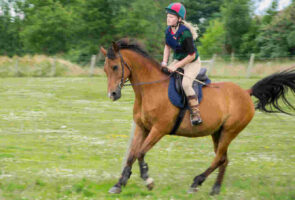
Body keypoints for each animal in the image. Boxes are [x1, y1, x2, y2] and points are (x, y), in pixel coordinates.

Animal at [100, 38, 295, 195]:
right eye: (105, 70)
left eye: (115, 67)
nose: (112, 94)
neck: (149, 89)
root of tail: (246, 92)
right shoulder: (142, 127)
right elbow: (131, 155)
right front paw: (119, 184)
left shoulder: (159, 129)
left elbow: (140, 153)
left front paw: (148, 181)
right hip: (218, 132)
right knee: (223, 158)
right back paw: (215, 189)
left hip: (230, 131)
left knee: (219, 158)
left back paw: (196, 182)